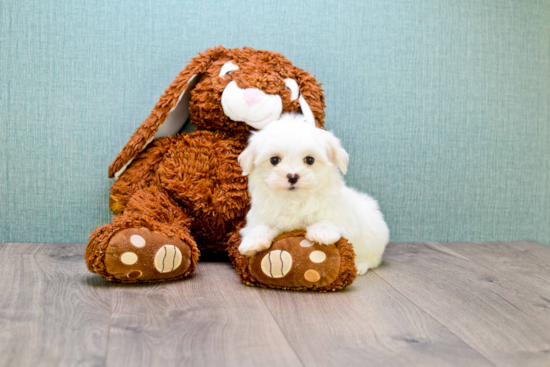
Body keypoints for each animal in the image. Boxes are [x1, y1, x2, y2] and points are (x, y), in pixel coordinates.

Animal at [239, 113, 390, 274]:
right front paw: (252, 240)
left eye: (309, 160)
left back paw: (360, 264)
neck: (294, 199)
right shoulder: (262, 215)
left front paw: (322, 231)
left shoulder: (344, 219)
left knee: (373, 258)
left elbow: (330, 220)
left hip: (375, 233)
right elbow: (261, 226)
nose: (292, 176)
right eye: (274, 160)